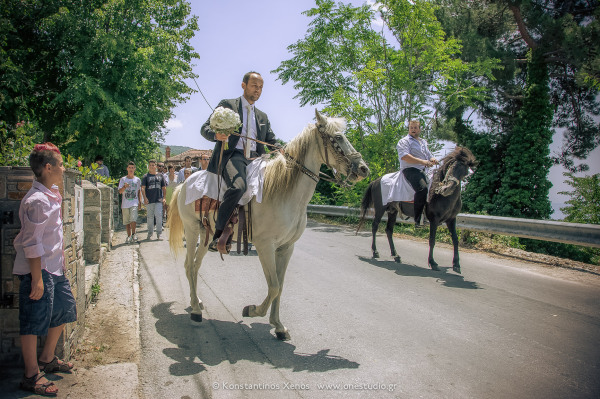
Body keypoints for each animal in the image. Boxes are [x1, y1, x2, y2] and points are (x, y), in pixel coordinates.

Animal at [166, 110, 368, 340]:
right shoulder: (265, 246)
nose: (363, 169)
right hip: (192, 230)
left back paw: (197, 302)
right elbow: (273, 287)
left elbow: (280, 286)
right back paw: (195, 310)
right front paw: (252, 310)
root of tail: (184, 183)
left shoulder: (286, 248)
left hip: (206, 235)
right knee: (189, 265)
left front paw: (278, 326)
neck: (284, 193)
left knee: (195, 266)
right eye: (337, 137)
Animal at [356, 147, 478, 276]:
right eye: (450, 166)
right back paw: (375, 252)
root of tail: (376, 181)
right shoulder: (434, 220)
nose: (446, 189)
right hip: (380, 209)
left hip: (393, 211)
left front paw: (456, 265)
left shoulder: (451, 220)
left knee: (389, 230)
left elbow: (455, 240)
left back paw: (396, 255)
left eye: (465, 171)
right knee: (375, 226)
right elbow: (432, 240)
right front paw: (433, 263)